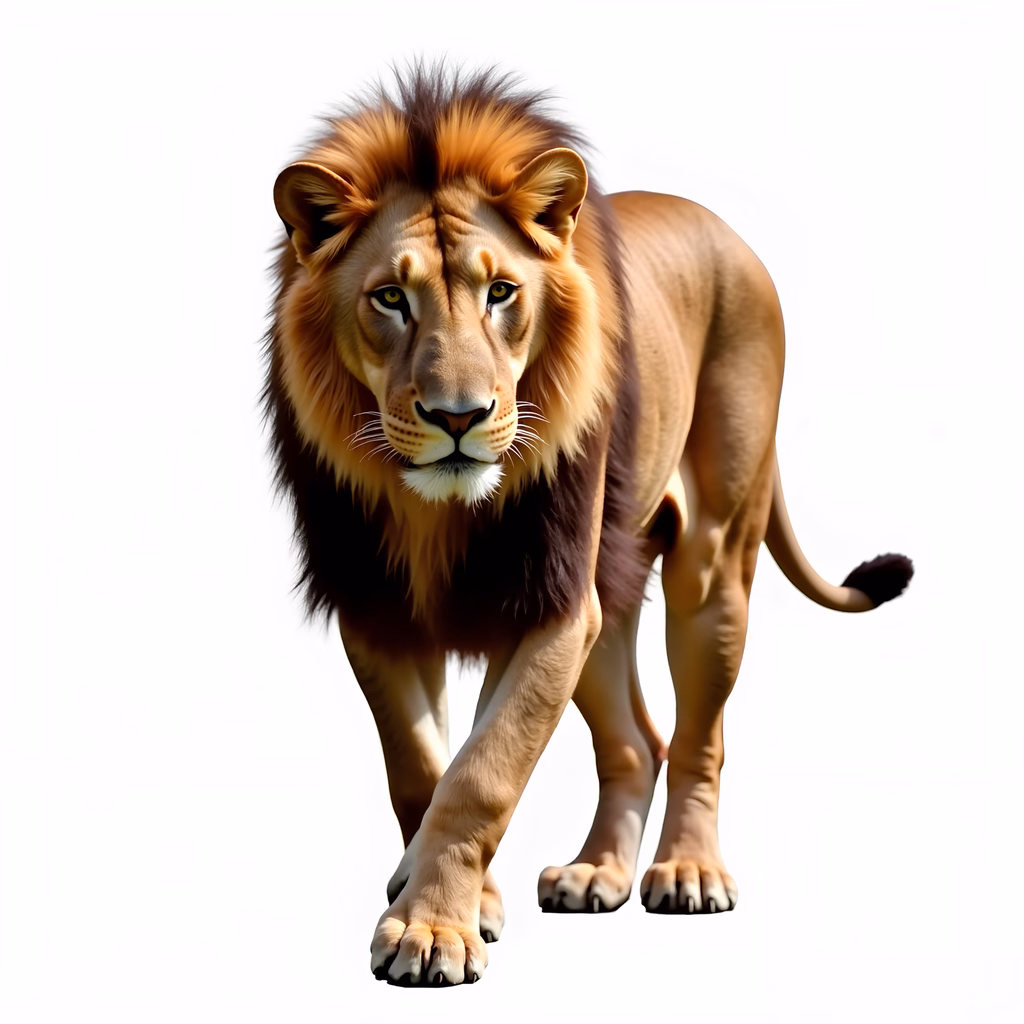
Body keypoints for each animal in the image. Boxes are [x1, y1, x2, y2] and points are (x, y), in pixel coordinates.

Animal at [264, 67, 913, 986]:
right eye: (390, 298)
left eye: (501, 292)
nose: (458, 417)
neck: (433, 510)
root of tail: (726, 231)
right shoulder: (379, 607)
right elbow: (422, 770)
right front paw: (455, 902)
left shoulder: (551, 600)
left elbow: (485, 771)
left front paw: (433, 928)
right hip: (614, 588)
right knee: (638, 740)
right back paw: (596, 873)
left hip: (712, 561)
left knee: (699, 736)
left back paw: (689, 872)